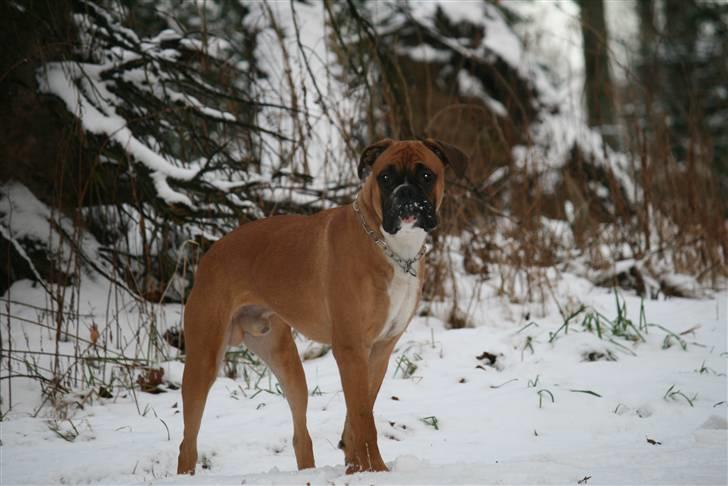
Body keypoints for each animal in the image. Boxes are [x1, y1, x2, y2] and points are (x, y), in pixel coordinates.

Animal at [179, 137, 470, 474]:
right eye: (385, 177)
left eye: (425, 175)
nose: (405, 193)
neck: (391, 247)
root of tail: (210, 254)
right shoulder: (350, 349)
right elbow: (363, 417)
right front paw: (374, 470)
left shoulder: (379, 351)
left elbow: (360, 411)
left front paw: (356, 466)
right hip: (203, 362)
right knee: (187, 443)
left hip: (286, 362)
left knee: (300, 434)